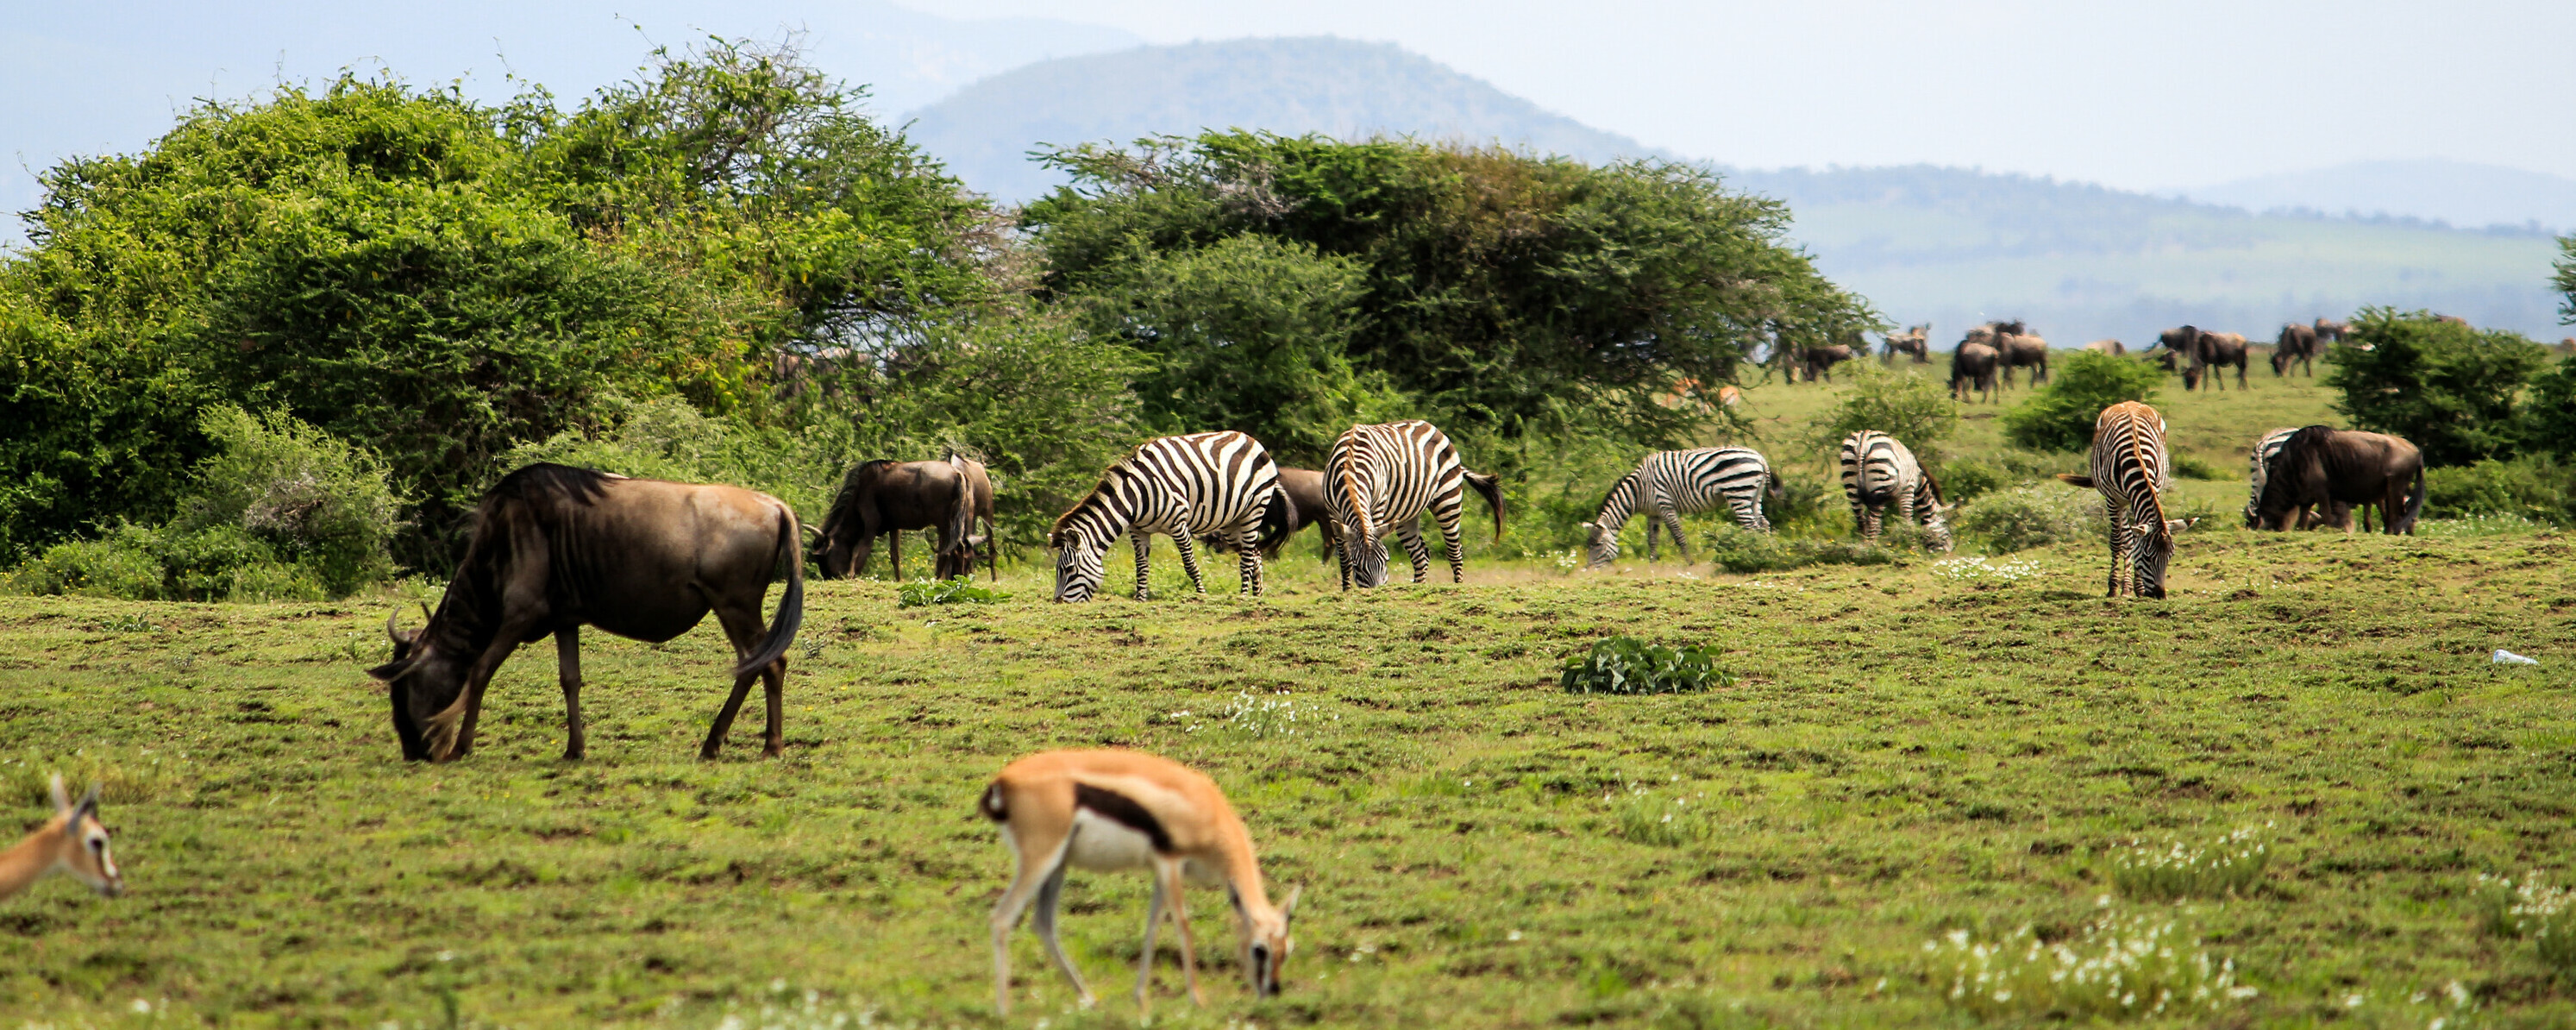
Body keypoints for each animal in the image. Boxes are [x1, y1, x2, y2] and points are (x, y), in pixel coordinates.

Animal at [1050, 427, 1282, 602]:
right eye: (1059, 570)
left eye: (1069, 569)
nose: (1059, 603)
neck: (1135, 496)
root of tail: (1252, 440)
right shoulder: (1138, 530)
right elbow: (1141, 567)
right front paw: (1140, 599)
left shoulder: (1178, 523)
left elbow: (1190, 564)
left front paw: (1202, 595)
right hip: (1231, 522)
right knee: (1255, 556)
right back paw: (1256, 598)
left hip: (1254, 509)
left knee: (1247, 558)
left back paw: (1243, 597)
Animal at [1329, 417, 1504, 587]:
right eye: (1358, 567)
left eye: (1386, 561)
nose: (1378, 591)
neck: (1350, 468)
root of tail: (1433, 427)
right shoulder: (1332, 514)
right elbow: (1345, 562)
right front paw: (1346, 591)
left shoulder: (1378, 505)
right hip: (1406, 515)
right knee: (1421, 555)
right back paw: (1417, 586)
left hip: (1448, 499)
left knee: (1455, 551)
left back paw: (1458, 586)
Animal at [1576, 445, 1783, 566]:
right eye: (1589, 545)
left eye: (1598, 545)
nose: (1590, 570)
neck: (1639, 491)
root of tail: (1759, 458)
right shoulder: (1653, 513)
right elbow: (1652, 540)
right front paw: (1652, 565)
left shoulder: (1665, 505)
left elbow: (1678, 536)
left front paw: (1690, 563)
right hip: (1754, 495)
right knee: (1763, 525)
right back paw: (1767, 554)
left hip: (1738, 490)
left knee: (1751, 528)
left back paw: (1751, 556)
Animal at [1833, 430, 1947, 550]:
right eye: (1946, 524)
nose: (1949, 551)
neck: (1918, 479)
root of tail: (1863, 439)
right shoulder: (1907, 490)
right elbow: (1907, 520)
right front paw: (1913, 547)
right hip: (1879, 481)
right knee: (1873, 523)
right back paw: (1874, 549)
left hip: (1852, 484)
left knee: (1861, 521)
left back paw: (1864, 548)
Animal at [2050, 399, 2194, 594]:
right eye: (2147, 557)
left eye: (2170, 556)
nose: (2159, 596)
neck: (2136, 458)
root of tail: (2129, 402)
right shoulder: (2113, 499)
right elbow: (2119, 541)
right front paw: (2114, 588)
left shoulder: (2152, 491)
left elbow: (2135, 539)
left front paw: (2139, 588)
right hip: (2118, 500)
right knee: (2124, 537)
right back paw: (2124, 587)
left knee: (2130, 535)